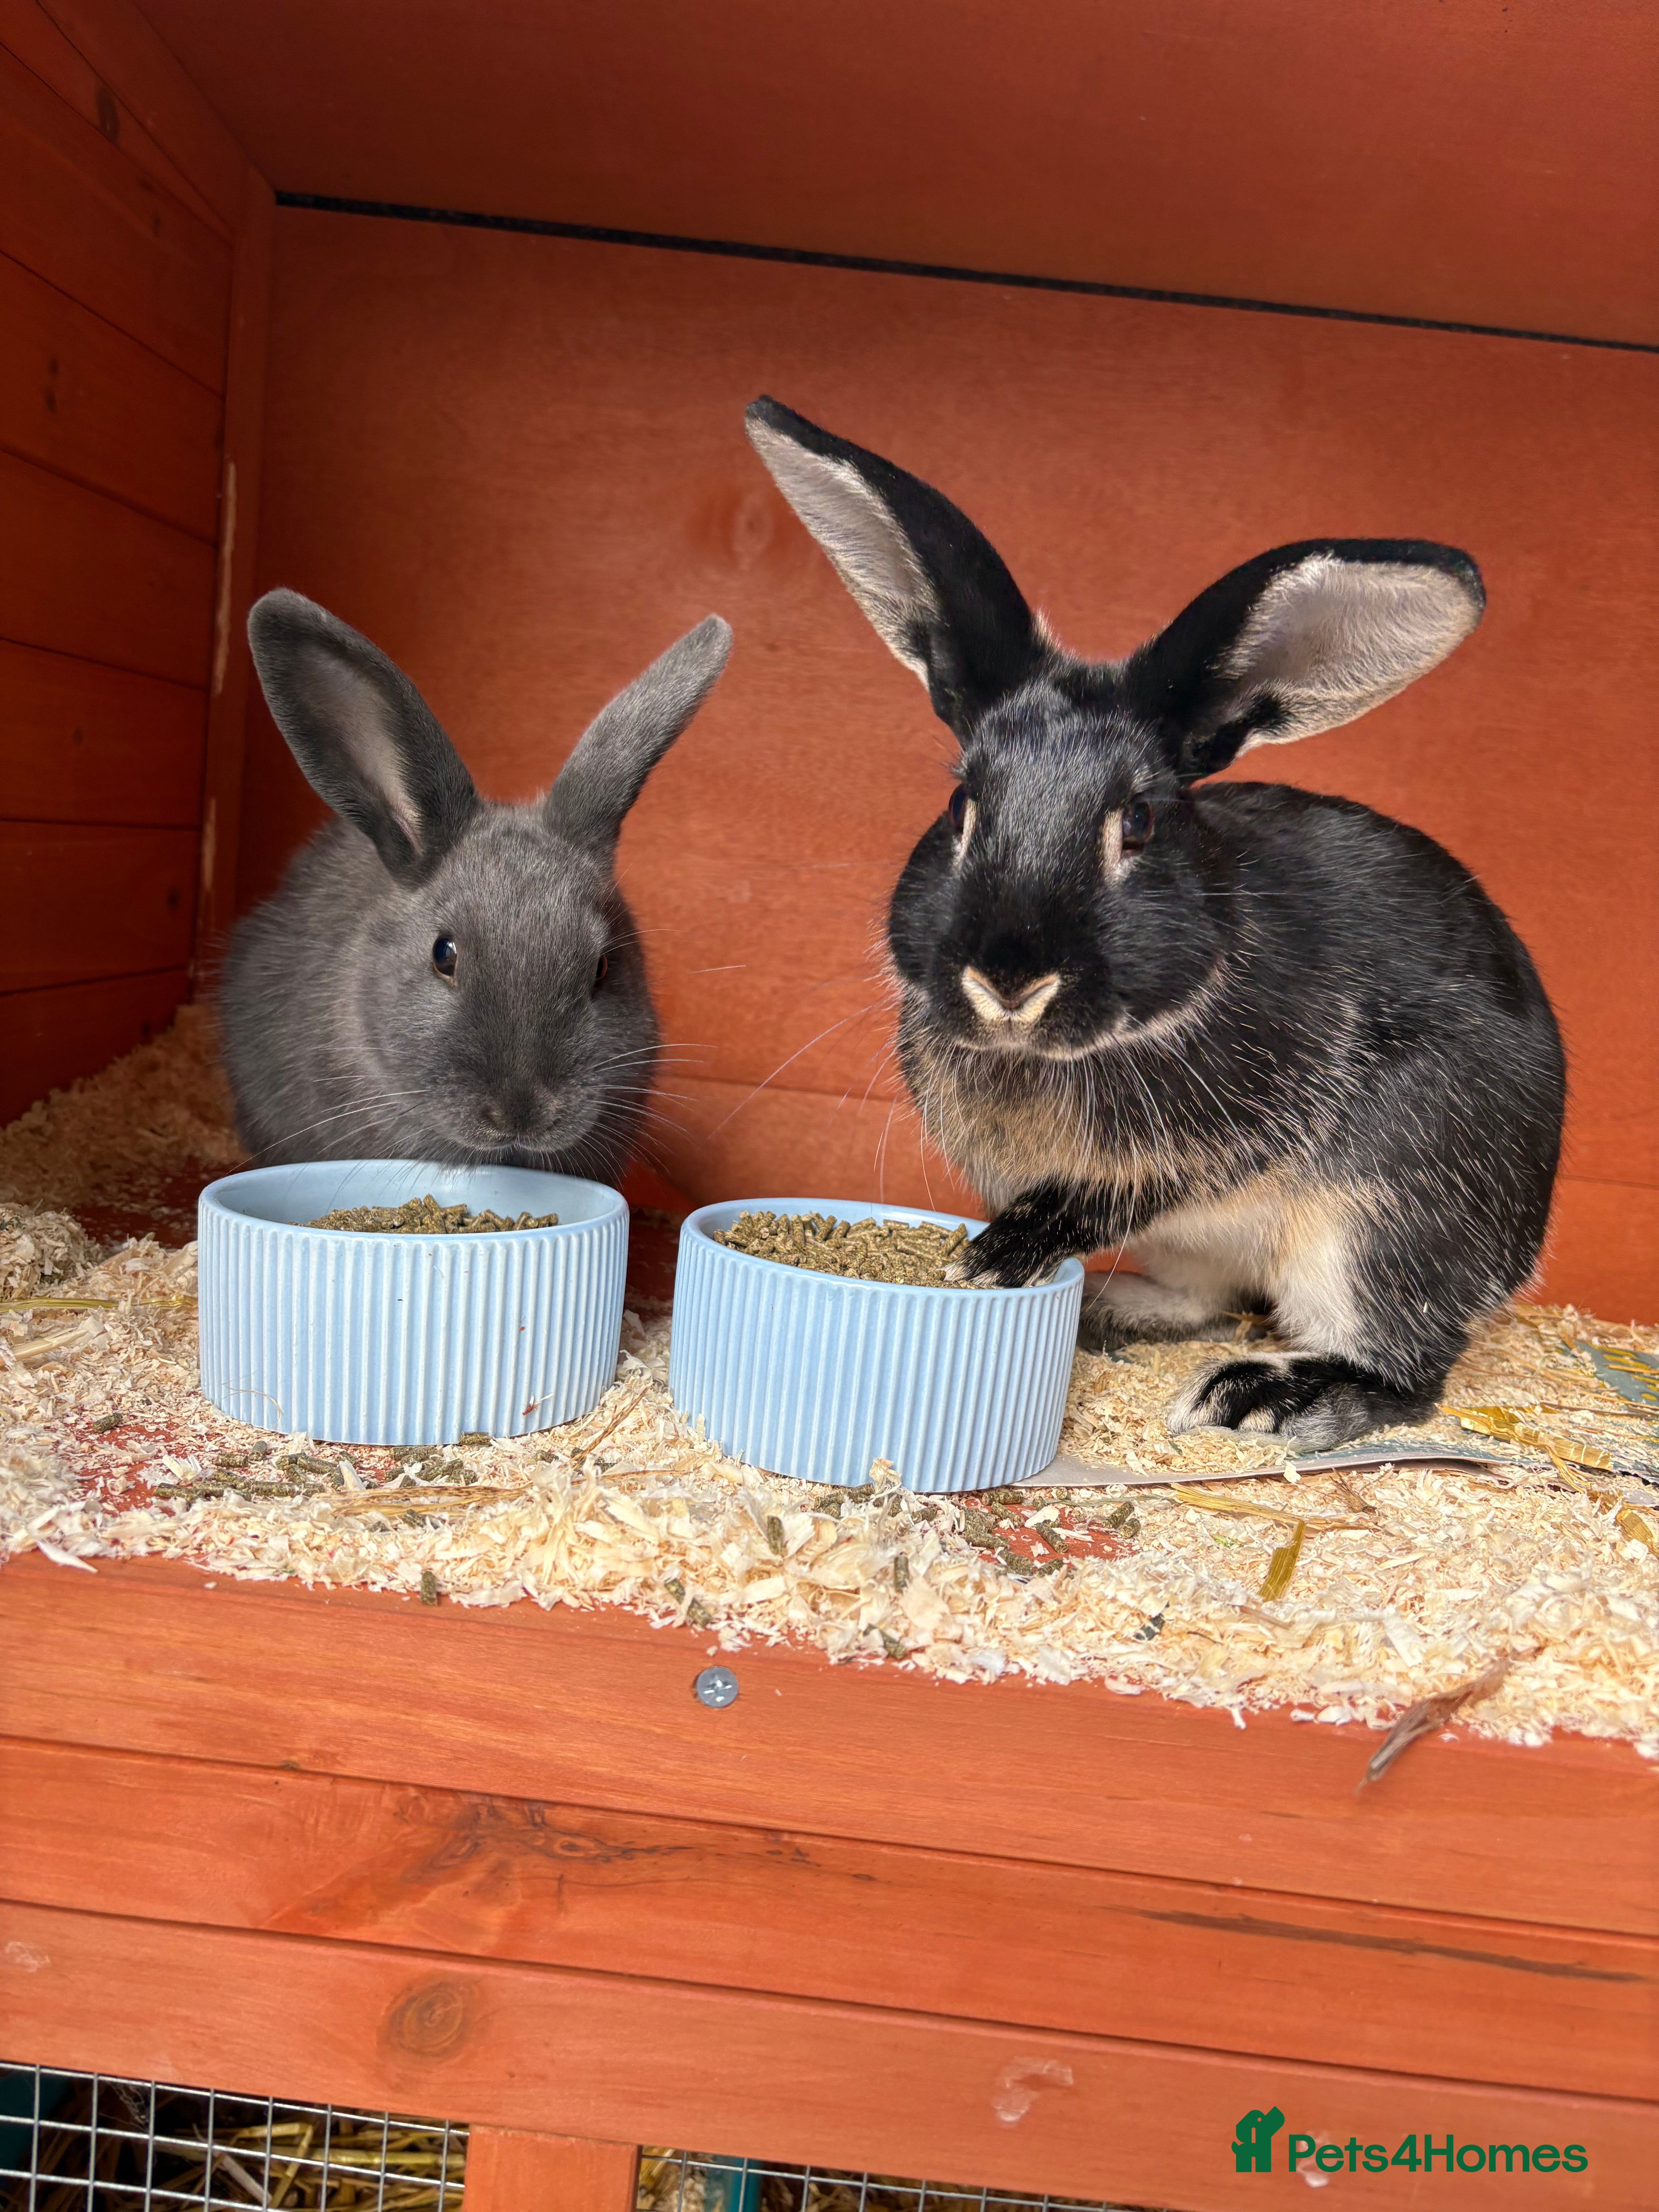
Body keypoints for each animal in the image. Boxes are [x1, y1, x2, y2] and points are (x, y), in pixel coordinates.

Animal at [745, 395, 1564, 1448]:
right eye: (963, 806)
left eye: (1135, 822)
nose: (1008, 982)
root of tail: (1518, 1254)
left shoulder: (1225, 1136)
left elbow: (1112, 1192)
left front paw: (998, 1255)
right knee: (1205, 1299)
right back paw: (1111, 1310)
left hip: (1382, 1222)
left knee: (1404, 1368)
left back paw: (1264, 1394)